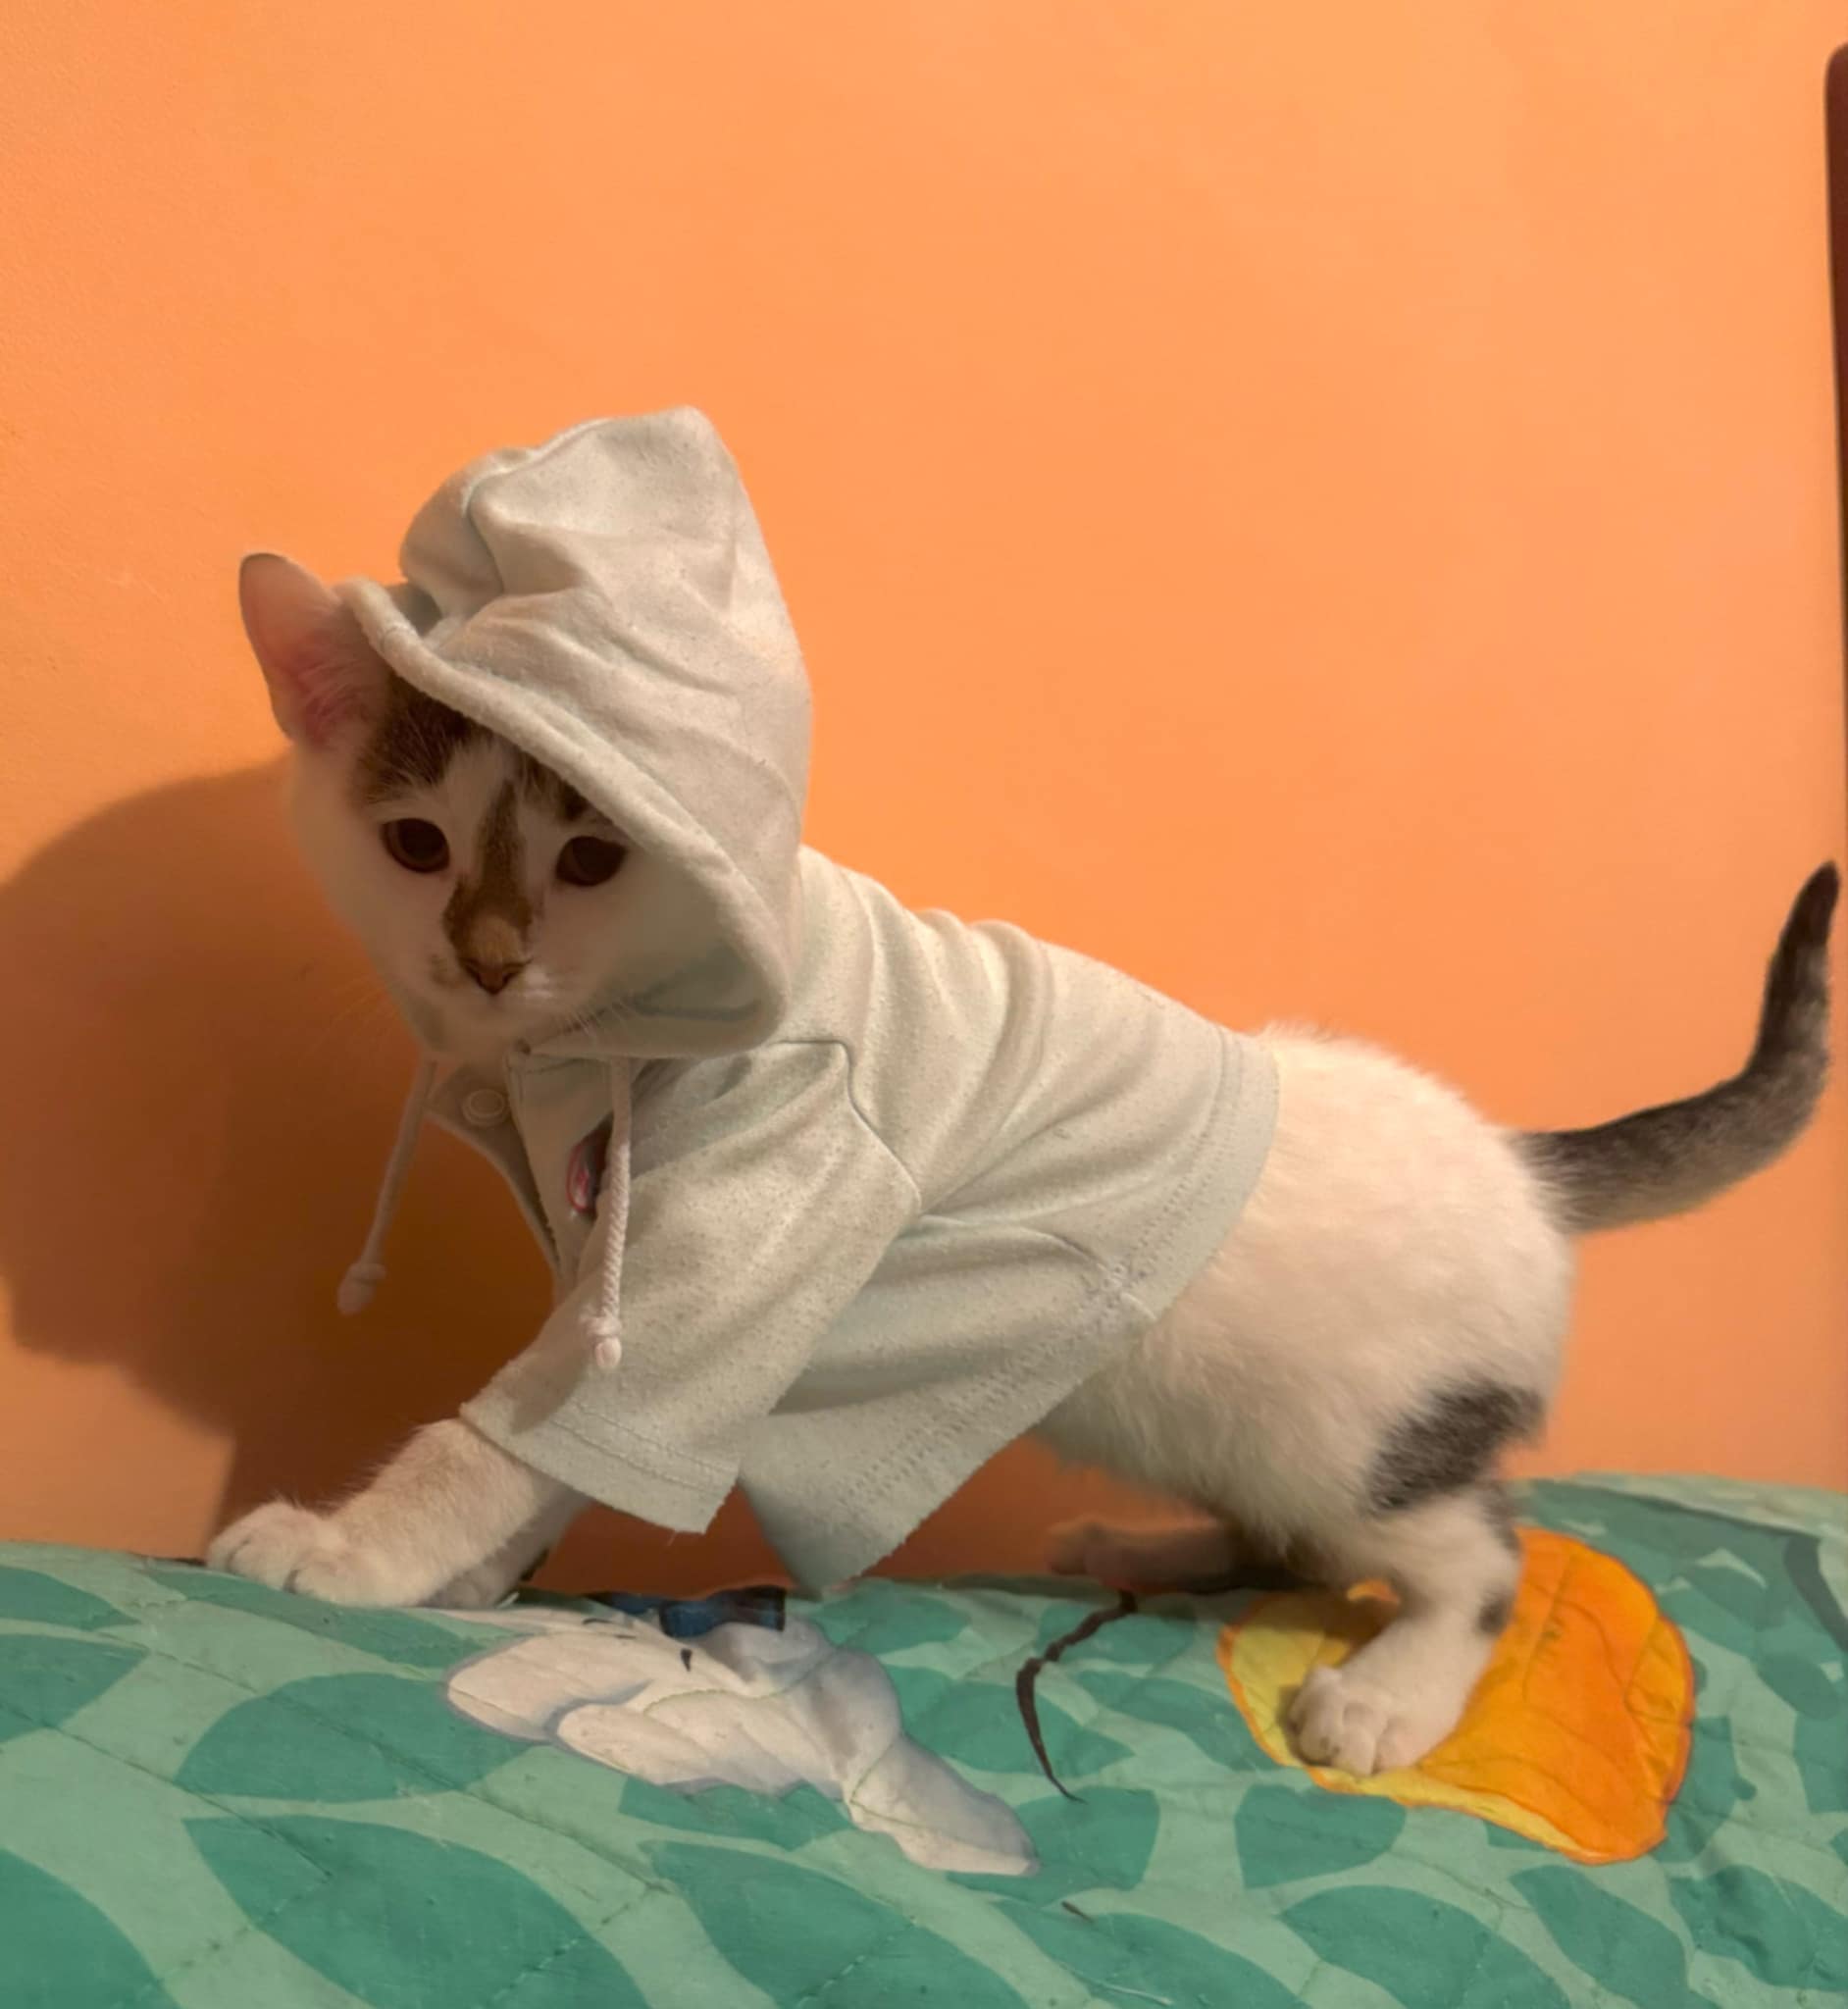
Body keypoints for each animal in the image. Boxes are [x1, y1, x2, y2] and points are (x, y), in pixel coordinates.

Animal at [213, 545, 1834, 1779]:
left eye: (593, 859)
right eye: (414, 845)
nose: (486, 961)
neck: (621, 1038)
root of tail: (1517, 1157)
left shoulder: (730, 1264)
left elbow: (499, 1442)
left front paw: (348, 1555)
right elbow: (535, 1453)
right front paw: (470, 1584)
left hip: (1357, 1432)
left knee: (1478, 1556)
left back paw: (1388, 1693)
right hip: (1233, 1425)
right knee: (1298, 1548)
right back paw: (1150, 1550)